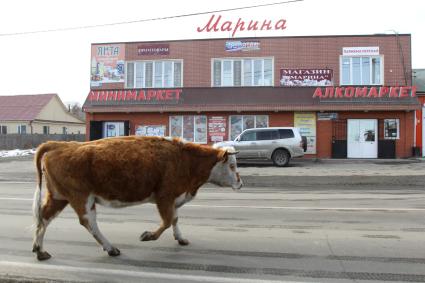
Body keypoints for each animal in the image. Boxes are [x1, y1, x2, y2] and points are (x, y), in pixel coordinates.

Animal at [31, 137, 240, 262]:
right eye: (231, 165)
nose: (240, 182)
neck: (184, 159)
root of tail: (62, 144)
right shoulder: (164, 197)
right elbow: (168, 220)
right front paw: (148, 236)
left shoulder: (173, 199)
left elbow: (175, 219)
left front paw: (180, 238)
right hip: (82, 198)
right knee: (89, 223)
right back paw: (111, 248)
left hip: (59, 198)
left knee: (44, 219)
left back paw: (40, 250)